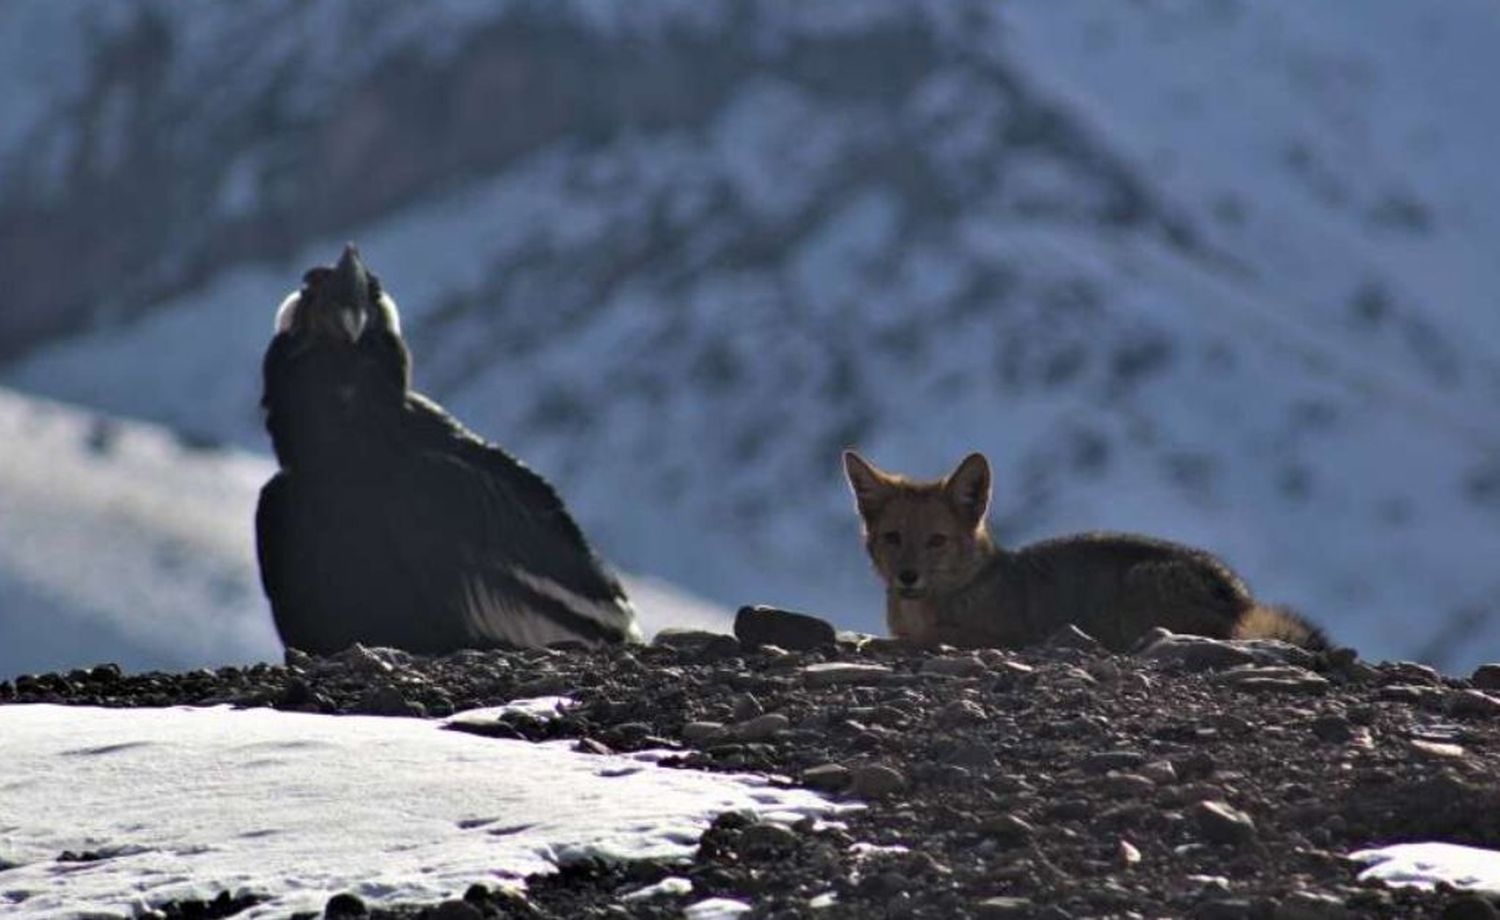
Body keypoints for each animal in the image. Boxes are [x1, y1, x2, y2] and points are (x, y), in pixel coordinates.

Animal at [840, 447, 1332, 648]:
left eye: (936, 541)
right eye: (893, 538)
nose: (907, 577)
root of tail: (1239, 597)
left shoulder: (1002, 636)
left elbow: (927, 638)